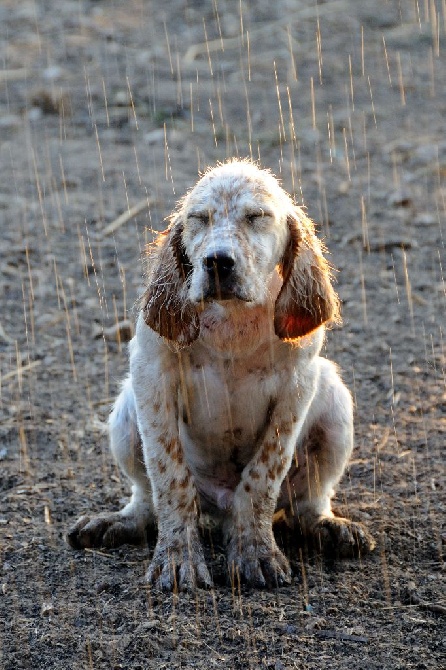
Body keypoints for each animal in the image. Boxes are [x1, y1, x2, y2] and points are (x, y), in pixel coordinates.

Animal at [69, 160, 376, 592]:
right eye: (199, 219)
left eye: (257, 217)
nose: (217, 262)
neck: (232, 322)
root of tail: (219, 507)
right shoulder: (150, 372)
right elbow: (169, 477)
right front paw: (178, 559)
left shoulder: (297, 385)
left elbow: (262, 477)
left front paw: (255, 553)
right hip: (126, 410)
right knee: (146, 498)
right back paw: (119, 521)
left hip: (334, 399)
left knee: (306, 503)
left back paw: (329, 527)